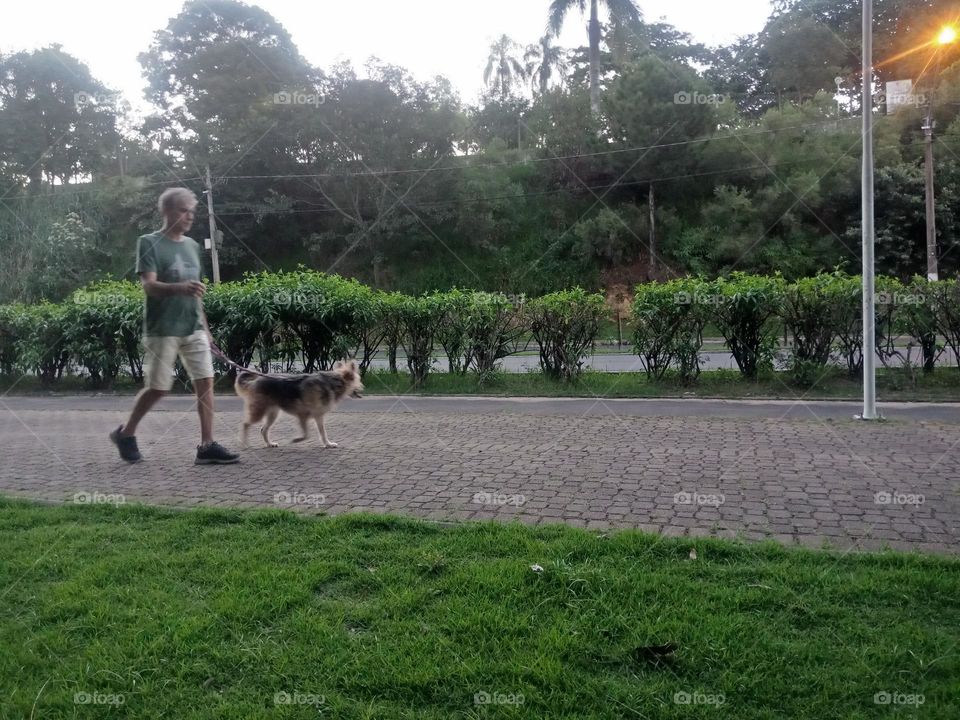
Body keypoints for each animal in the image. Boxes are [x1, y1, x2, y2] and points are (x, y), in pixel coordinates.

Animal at [236, 360, 364, 450]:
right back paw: (244, 444)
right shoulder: (303, 415)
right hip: (259, 412)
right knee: (245, 424)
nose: (363, 388)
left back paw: (269, 444)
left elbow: (322, 433)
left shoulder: (318, 416)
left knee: (263, 430)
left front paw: (328, 444)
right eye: (358, 380)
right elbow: (307, 434)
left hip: (273, 414)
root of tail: (255, 381)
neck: (334, 382)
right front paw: (297, 440)